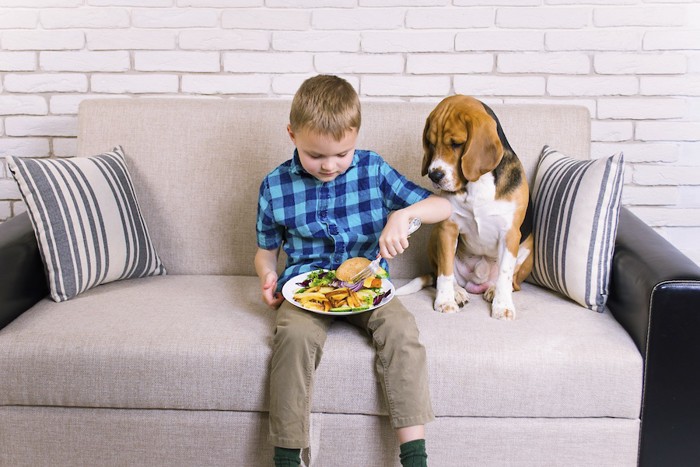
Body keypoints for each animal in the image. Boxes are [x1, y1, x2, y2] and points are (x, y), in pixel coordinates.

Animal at [396, 96, 532, 322]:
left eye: (457, 143)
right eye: (430, 143)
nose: (434, 175)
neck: (477, 184)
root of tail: (477, 283)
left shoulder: (511, 233)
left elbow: (505, 274)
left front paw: (502, 305)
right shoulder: (447, 228)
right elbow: (444, 273)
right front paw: (445, 300)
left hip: (528, 248)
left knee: (512, 282)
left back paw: (493, 290)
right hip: (435, 235)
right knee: (446, 273)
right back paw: (458, 291)